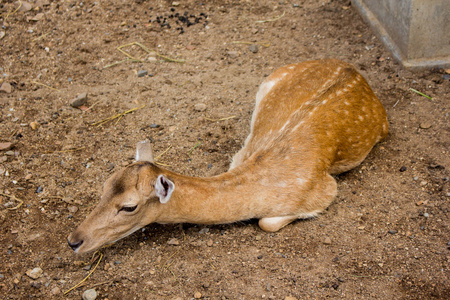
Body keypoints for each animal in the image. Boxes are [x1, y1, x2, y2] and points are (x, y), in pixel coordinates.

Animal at [67, 58, 386, 253]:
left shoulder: (323, 190)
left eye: (129, 207)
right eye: (104, 186)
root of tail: (354, 70)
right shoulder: (240, 153)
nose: (73, 240)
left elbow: (266, 222)